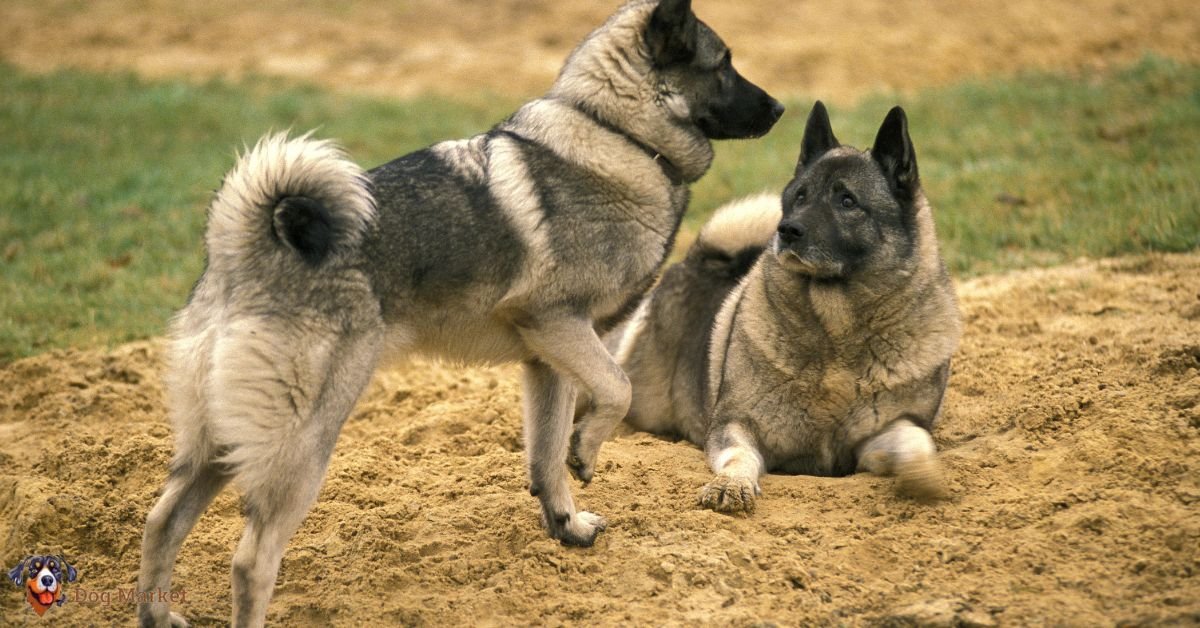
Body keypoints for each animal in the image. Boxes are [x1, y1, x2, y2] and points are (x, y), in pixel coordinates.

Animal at [136, 2, 782, 624]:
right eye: (723, 64)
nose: (779, 108)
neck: (614, 132)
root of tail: (242, 248)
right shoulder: (560, 325)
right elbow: (615, 392)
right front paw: (588, 450)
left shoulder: (548, 362)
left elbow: (545, 457)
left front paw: (566, 524)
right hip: (303, 439)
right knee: (251, 561)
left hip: (219, 441)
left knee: (161, 522)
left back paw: (157, 616)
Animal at [600, 102, 964, 511]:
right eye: (800, 197)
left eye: (847, 201)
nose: (786, 229)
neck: (837, 333)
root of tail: (698, 259)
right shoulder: (735, 426)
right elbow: (739, 456)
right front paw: (731, 485)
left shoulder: (880, 435)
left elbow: (916, 441)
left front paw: (925, 476)